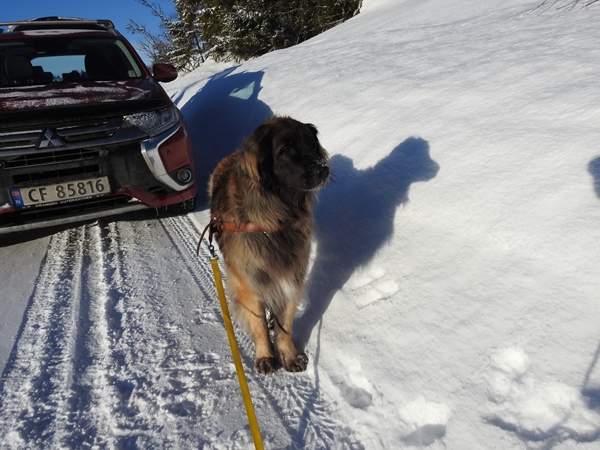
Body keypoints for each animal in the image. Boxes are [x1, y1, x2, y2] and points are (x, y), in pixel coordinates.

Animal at [206, 115, 328, 372]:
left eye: (312, 144)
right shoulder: (250, 281)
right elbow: (258, 322)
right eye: (287, 150)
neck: (276, 216)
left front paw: (288, 354)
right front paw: (265, 355)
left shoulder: (291, 276)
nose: (323, 168)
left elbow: (285, 324)